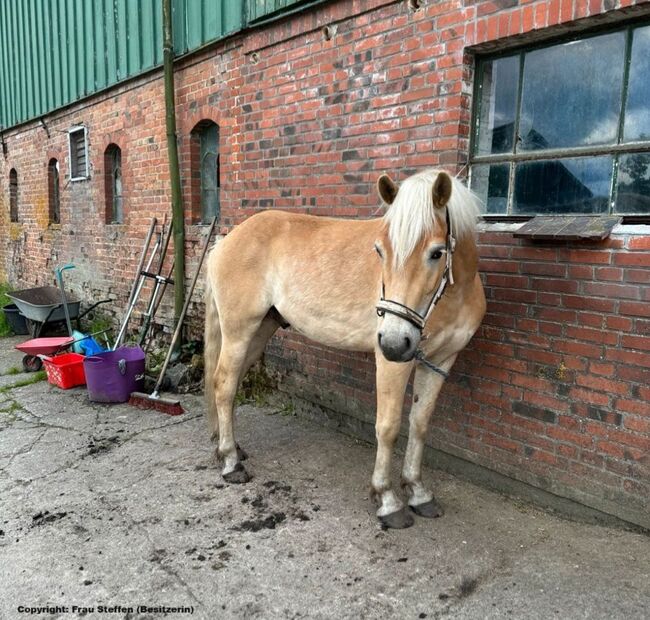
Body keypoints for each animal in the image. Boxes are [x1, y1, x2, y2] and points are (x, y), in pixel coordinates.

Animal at [205, 168, 484, 528]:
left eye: (437, 252)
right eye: (379, 251)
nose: (394, 340)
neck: (454, 294)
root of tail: (226, 240)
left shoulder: (441, 360)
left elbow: (420, 424)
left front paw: (418, 493)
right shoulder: (393, 362)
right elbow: (388, 427)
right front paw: (388, 500)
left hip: (261, 330)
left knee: (230, 383)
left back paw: (230, 448)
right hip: (240, 331)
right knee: (224, 385)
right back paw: (230, 462)